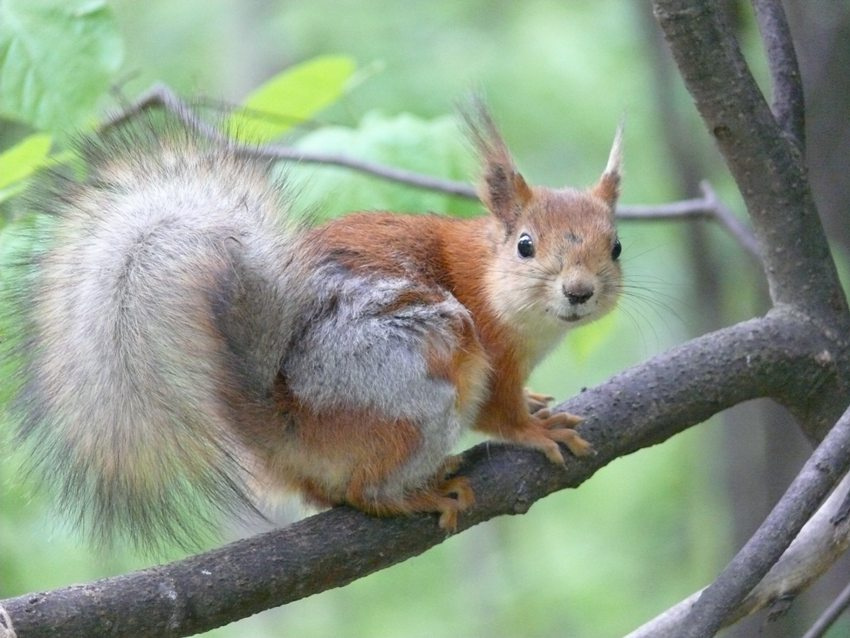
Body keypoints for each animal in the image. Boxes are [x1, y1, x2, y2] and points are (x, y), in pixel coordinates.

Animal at [5, 104, 623, 550]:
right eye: (525, 245)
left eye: (616, 246)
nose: (579, 292)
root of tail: (288, 424)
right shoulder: (492, 350)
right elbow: (500, 412)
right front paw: (535, 429)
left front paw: (537, 402)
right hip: (423, 369)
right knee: (361, 490)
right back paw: (416, 495)